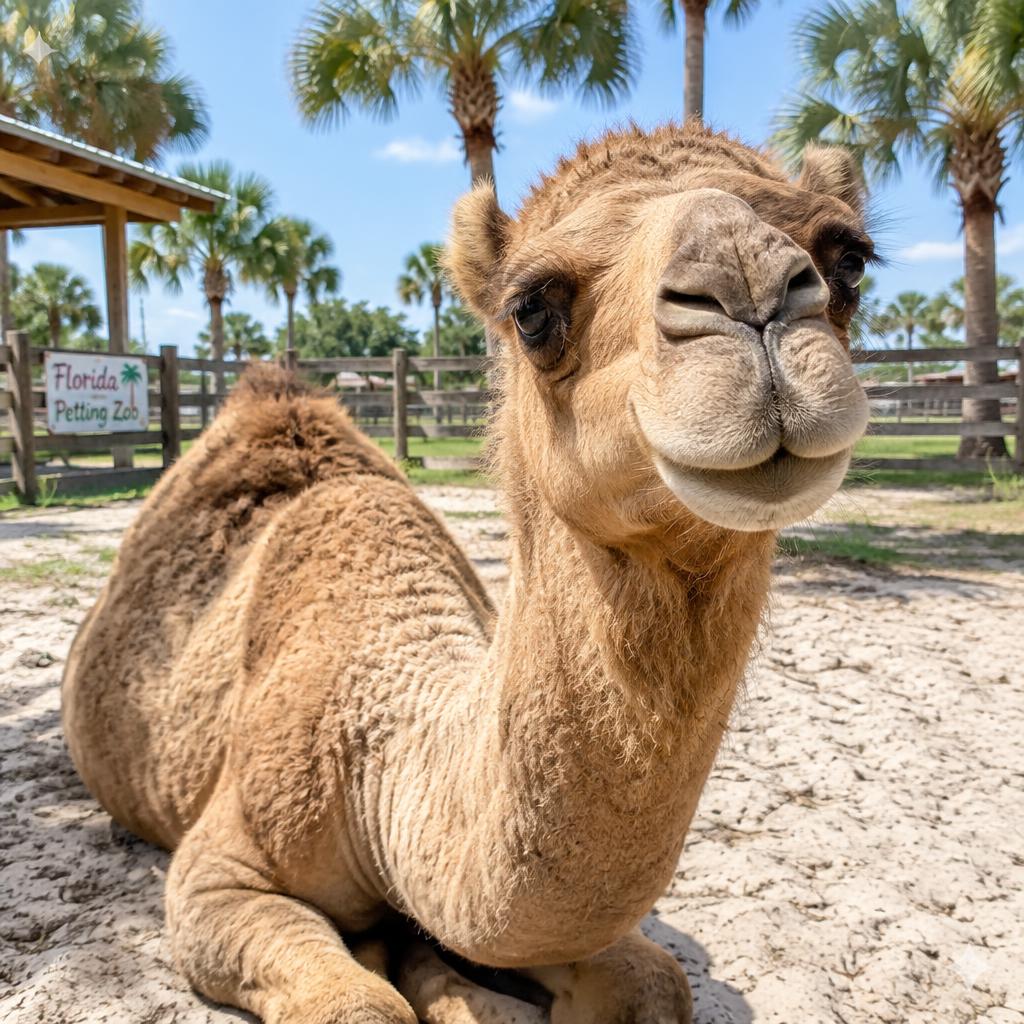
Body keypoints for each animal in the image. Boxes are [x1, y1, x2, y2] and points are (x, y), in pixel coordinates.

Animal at [62, 123, 872, 1023]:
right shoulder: (219, 871)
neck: (375, 766)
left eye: (850, 262)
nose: (748, 286)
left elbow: (655, 979)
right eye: (532, 309)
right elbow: (361, 1005)